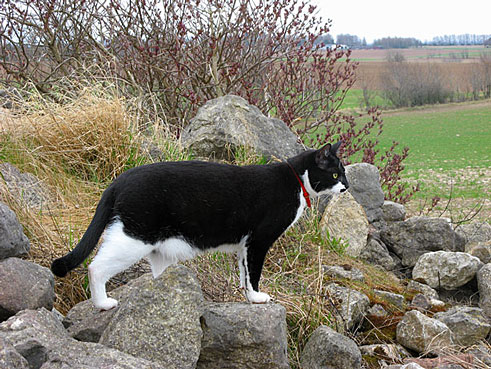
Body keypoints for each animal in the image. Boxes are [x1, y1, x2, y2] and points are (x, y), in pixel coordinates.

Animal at [51, 141, 350, 308]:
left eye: (344, 173)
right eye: (336, 174)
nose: (346, 186)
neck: (296, 179)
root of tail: (119, 180)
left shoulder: (244, 245)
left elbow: (243, 274)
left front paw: (247, 298)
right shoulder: (259, 240)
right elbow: (253, 274)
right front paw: (257, 298)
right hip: (134, 236)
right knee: (96, 267)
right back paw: (103, 304)